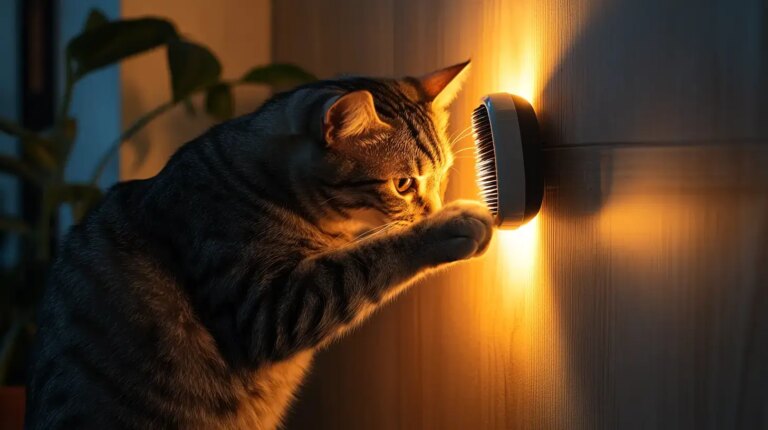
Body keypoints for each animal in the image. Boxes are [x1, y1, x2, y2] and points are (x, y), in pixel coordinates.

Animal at [25, 61, 492, 430]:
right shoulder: (268, 312)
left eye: (443, 174)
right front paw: (451, 225)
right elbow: (369, 259)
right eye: (403, 184)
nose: (434, 207)